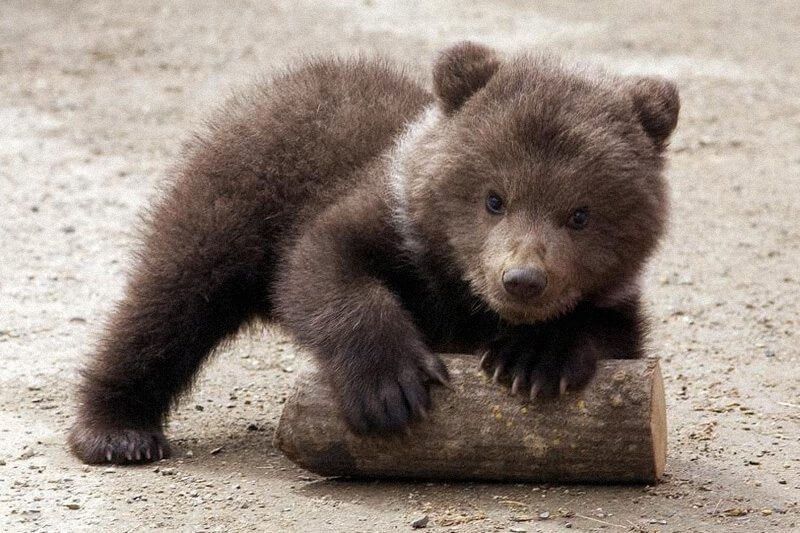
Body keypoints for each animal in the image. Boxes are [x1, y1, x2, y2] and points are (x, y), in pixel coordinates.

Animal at [68, 42, 679, 464]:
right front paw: (392, 387)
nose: (523, 279)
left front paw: (533, 359)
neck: (464, 295)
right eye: (494, 198)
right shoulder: (388, 221)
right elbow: (324, 267)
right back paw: (118, 431)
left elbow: (611, 333)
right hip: (231, 205)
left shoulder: (614, 293)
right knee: (168, 302)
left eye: (580, 213)